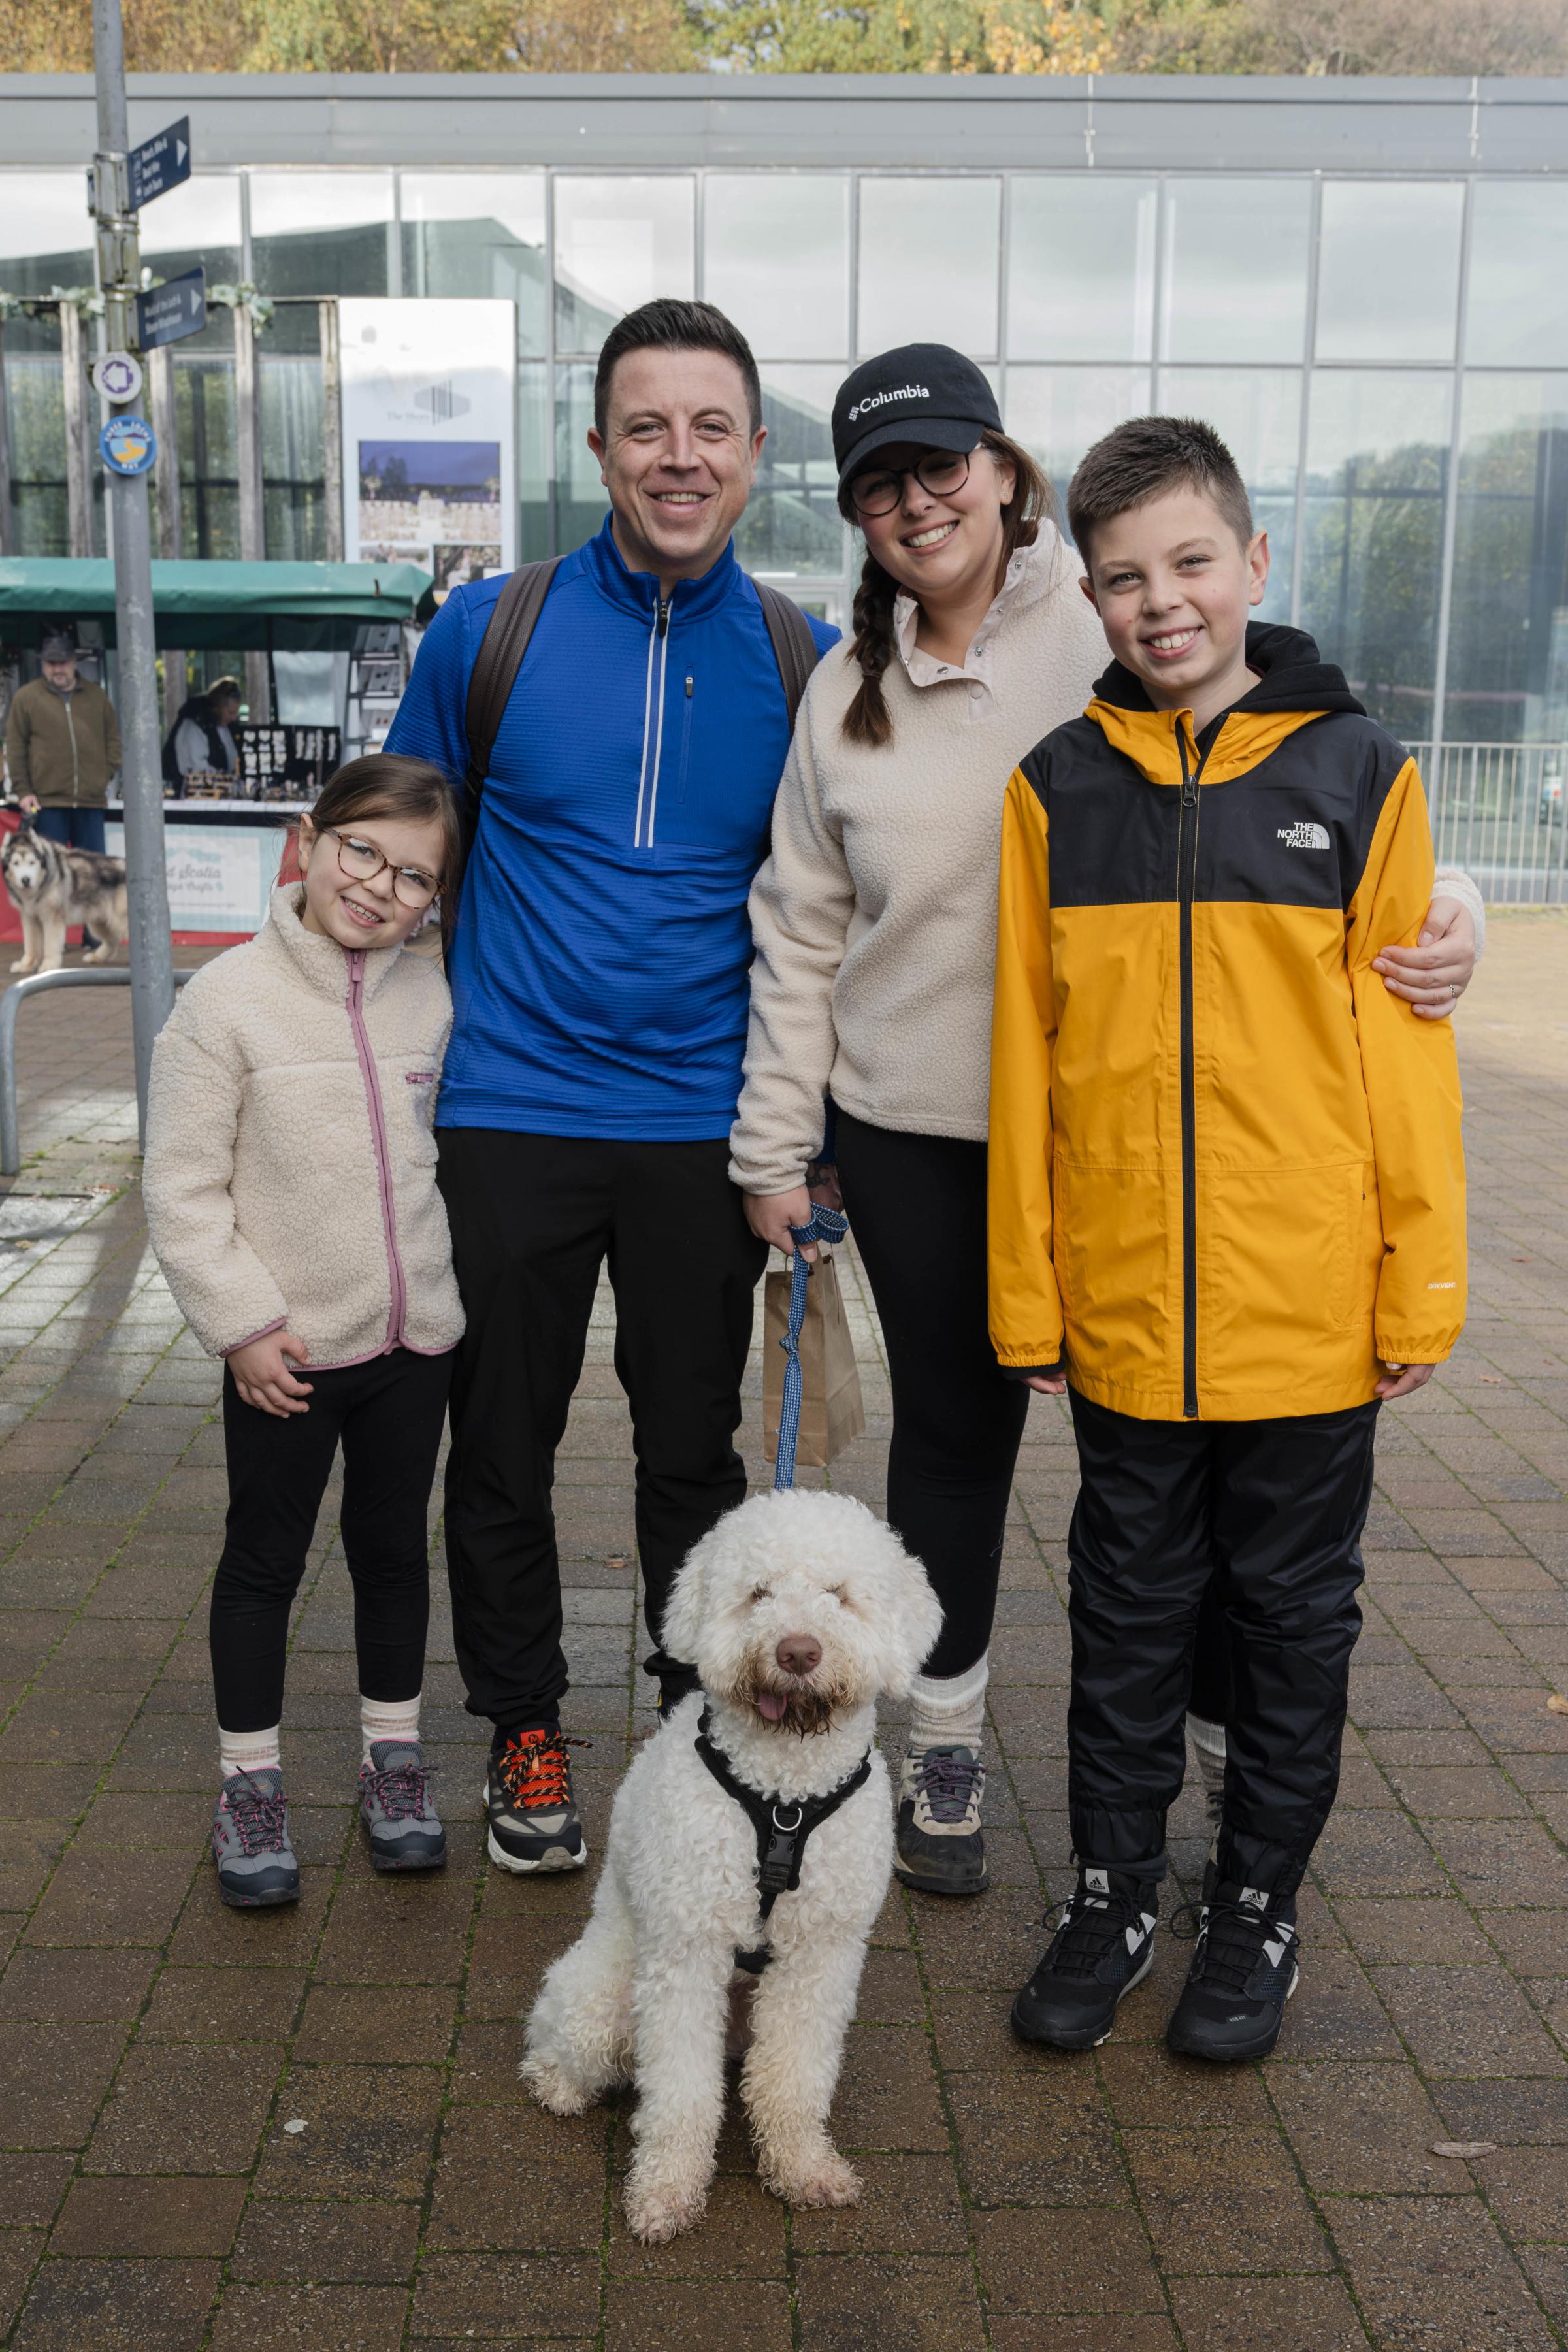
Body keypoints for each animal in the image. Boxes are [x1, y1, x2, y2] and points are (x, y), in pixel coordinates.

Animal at [1, 828, 130, 973]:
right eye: (16, 864)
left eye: (32, 863)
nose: (26, 880)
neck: (43, 881)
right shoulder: (30, 918)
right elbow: (31, 945)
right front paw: (27, 965)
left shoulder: (52, 918)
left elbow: (50, 944)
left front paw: (49, 965)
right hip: (99, 921)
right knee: (113, 940)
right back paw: (98, 957)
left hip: (120, 919)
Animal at [526, 1486, 945, 2239]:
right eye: (758, 1593)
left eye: (839, 1595)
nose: (798, 1651)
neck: (782, 1796)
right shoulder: (686, 1953)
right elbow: (680, 2092)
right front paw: (667, 2191)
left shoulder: (820, 1958)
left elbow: (795, 2077)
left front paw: (801, 2166)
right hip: (605, 1999)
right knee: (561, 2043)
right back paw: (557, 2084)